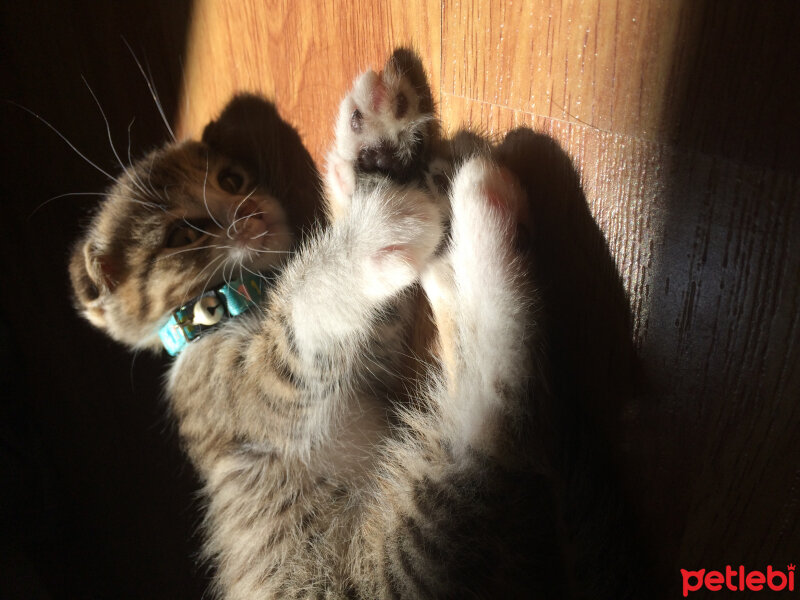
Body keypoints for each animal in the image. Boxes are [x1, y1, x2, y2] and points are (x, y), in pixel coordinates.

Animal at [70, 51, 544, 600]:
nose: (252, 212)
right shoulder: (252, 391)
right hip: (386, 567)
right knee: (489, 424)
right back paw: (480, 208)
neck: (231, 305)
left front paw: (368, 152)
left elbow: (371, 321)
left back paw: (448, 252)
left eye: (231, 181)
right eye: (182, 235)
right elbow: (299, 314)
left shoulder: (368, 353)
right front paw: (367, 233)